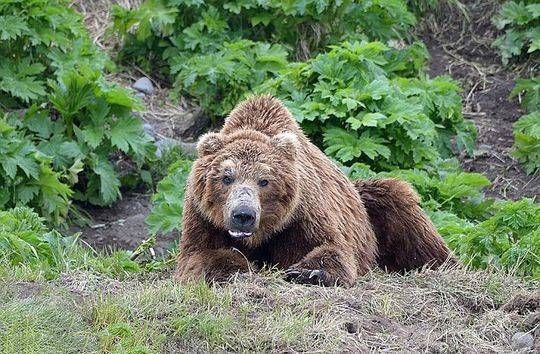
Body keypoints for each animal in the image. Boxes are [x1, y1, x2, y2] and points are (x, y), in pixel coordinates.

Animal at [174, 95, 456, 286]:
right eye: (226, 177)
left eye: (264, 181)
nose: (243, 215)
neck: (262, 234)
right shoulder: (203, 216)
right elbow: (199, 255)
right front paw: (236, 269)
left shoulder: (301, 214)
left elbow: (331, 246)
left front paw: (308, 272)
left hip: (372, 208)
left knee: (401, 206)